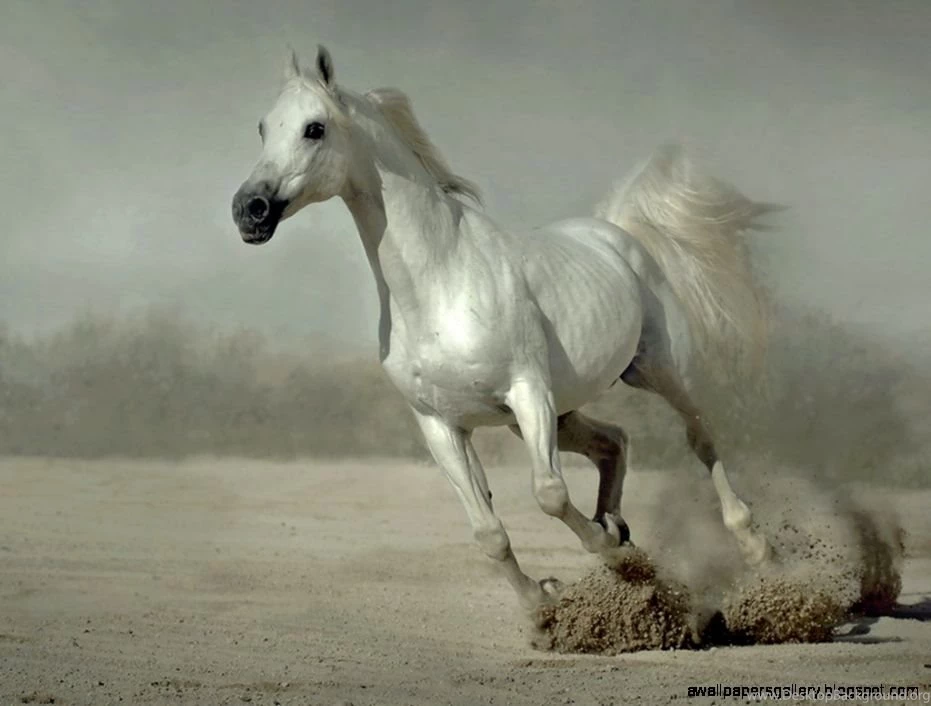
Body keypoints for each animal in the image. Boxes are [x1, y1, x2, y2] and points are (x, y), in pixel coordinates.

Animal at [232, 46, 776, 612]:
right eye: (263, 127)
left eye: (314, 128)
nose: (249, 210)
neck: (440, 284)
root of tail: (614, 232)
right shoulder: (441, 425)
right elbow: (488, 532)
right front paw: (544, 602)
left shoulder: (527, 392)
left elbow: (549, 494)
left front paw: (608, 555)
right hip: (558, 412)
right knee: (615, 441)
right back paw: (618, 526)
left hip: (656, 371)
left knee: (700, 437)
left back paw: (755, 548)